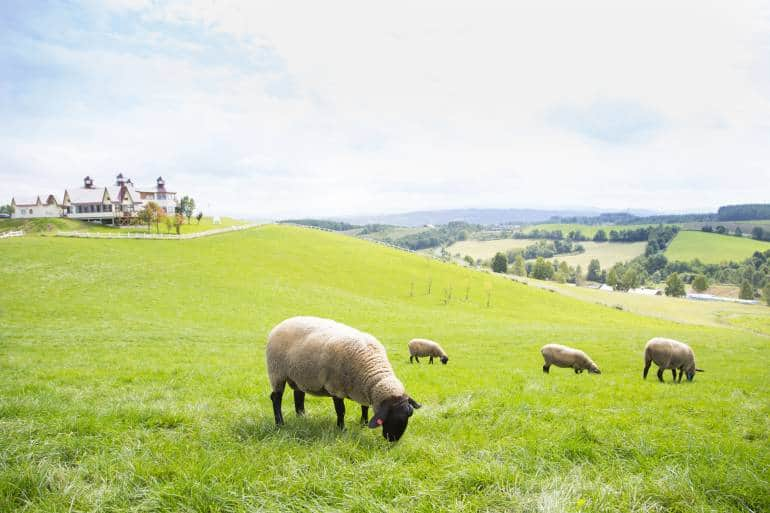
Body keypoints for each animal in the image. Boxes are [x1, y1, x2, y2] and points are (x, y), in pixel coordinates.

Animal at [264, 314, 420, 442]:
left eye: (409, 416)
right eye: (392, 417)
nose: (393, 440)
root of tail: (282, 323)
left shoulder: (363, 389)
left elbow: (364, 407)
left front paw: (363, 423)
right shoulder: (336, 387)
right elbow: (341, 410)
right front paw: (342, 429)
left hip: (298, 375)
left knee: (299, 394)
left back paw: (302, 416)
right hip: (277, 372)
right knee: (276, 398)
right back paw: (280, 423)